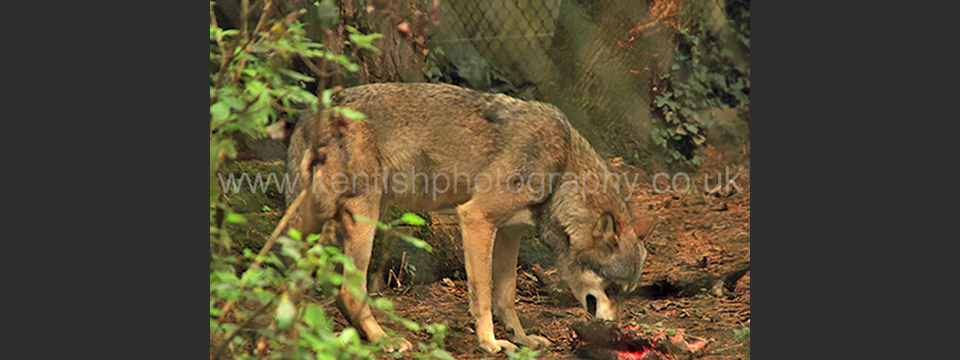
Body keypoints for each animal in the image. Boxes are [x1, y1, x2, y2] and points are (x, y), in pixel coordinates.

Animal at [278, 82, 652, 354]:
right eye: (612, 289)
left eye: (626, 293)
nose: (614, 330)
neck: (560, 167)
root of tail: (313, 114)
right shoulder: (476, 219)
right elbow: (483, 295)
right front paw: (490, 343)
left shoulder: (509, 232)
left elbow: (506, 296)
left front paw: (521, 340)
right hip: (364, 220)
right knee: (348, 291)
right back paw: (384, 340)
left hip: (330, 222)